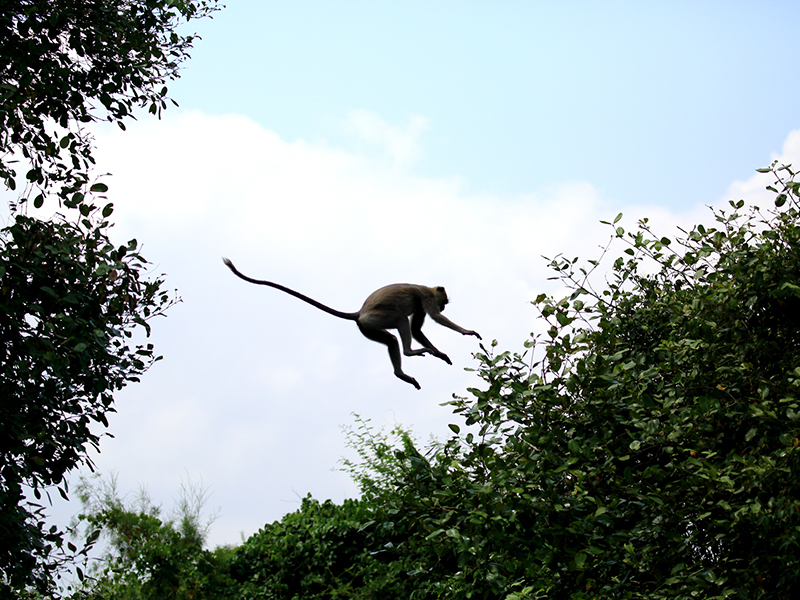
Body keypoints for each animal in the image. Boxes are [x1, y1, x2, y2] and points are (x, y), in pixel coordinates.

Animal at [220, 256, 482, 390]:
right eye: (444, 302)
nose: (445, 306)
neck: (425, 287)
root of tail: (359, 313)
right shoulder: (426, 297)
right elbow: (433, 320)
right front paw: (467, 332)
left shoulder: (421, 304)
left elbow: (417, 328)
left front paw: (440, 354)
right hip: (375, 319)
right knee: (399, 322)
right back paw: (409, 352)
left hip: (367, 327)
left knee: (390, 339)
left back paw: (401, 374)